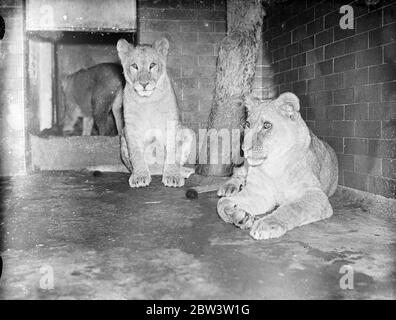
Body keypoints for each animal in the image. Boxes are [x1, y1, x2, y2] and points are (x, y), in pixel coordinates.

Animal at [217, 92, 338, 240]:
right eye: (247, 124)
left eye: (267, 125)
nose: (244, 149)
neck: (273, 167)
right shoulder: (258, 192)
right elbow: (221, 204)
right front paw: (238, 215)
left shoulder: (315, 194)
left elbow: (293, 207)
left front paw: (266, 224)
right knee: (238, 173)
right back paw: (228, 187)